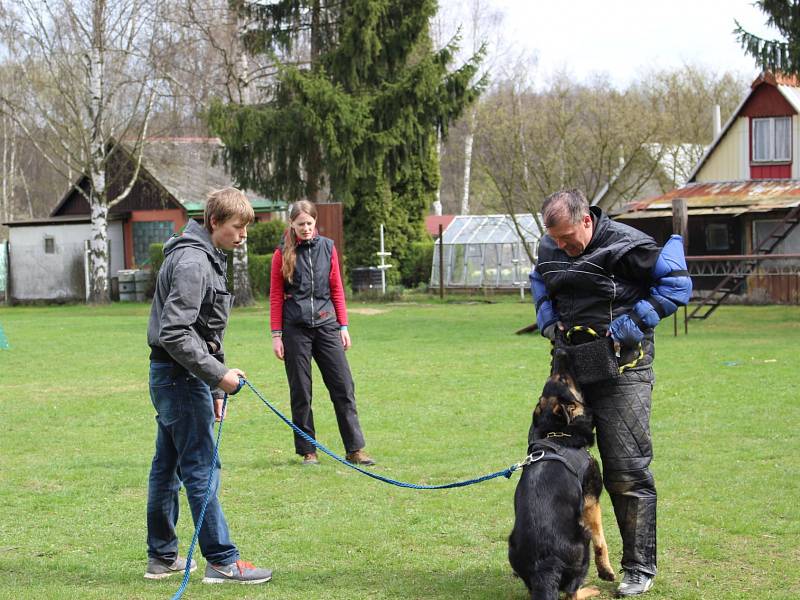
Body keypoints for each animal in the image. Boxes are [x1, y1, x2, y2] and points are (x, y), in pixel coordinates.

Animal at [510, 350, 616, 596]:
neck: (558, 434)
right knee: (571, 592)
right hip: (582, 540)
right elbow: (601, 539)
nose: (559, 351)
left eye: (556, 378)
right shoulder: (591, 500)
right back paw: (590, 590)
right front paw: (606, 570)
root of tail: (545, 567)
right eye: (563, 380)